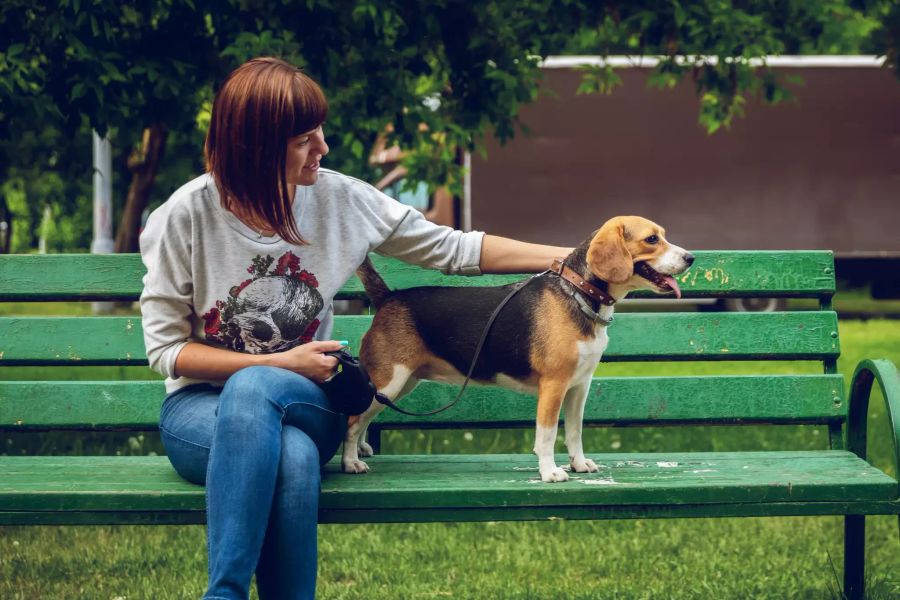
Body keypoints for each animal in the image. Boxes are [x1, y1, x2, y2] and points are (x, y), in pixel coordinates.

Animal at [344, 216, 696, 482]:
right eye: (652, 239)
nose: (691, 258)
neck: (579, 292)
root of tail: (389, 297)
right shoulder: (554, 386)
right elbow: (547, 435)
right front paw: (550, 472)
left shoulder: (579, 386)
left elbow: (575, 432)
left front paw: (579, 464)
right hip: (390, 380)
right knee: (352, 419)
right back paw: (351, 462)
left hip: (400, 383)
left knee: (364, 418)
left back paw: (361, 449)